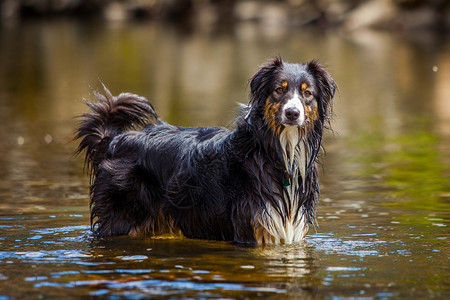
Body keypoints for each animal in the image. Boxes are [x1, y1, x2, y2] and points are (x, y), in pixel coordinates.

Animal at [75, 56, 336, 244]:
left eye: (307, 93)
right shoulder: (253, 230)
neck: (280, 152)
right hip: (122, 220)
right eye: (279, 90)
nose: (292, 113)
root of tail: (115, 140)